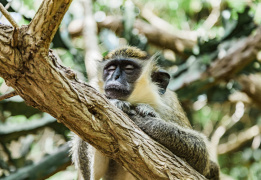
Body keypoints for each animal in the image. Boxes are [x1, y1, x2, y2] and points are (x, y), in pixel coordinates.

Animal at [70, 46, 218, 180]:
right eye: (111, 69)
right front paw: (115, 103)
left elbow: (201, 154)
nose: (115, 77)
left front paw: (146, 119)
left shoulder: (170, 103)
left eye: (129, 69)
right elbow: (94, 173)